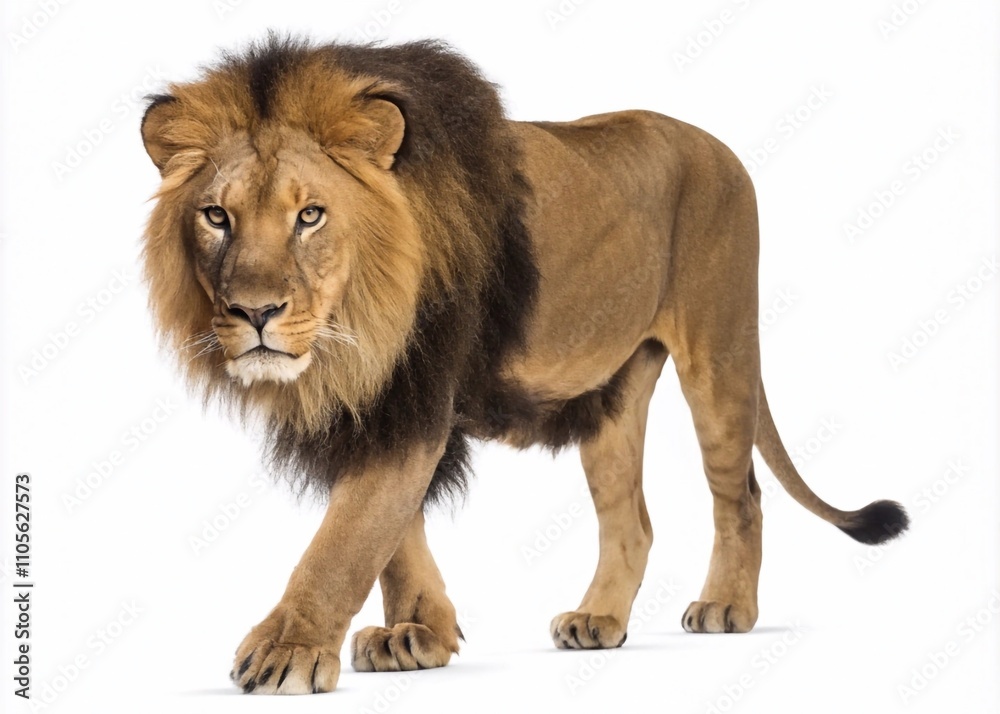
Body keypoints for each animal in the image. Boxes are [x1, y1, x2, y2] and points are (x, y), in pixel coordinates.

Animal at [140, 36, 909, 694]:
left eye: (310, 216)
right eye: (216, 217)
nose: (255, 312)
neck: (355, 330)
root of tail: (720, 146)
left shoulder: (420, 388)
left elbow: (348, 537)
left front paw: (288, 651)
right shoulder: (386, 403)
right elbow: (394, 532)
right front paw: (418, 634)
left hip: (719, 351)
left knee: (740, 495)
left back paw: (725, 607)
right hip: (613, 394)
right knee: (633, 520)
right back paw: (599, 621)